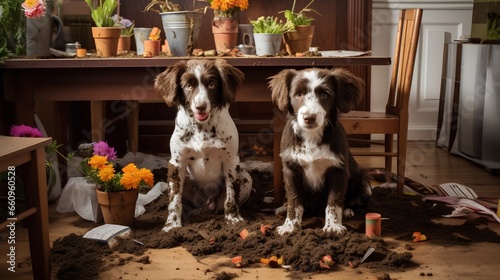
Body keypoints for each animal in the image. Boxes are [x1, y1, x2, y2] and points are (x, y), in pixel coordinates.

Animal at [154, 58, 252, 232]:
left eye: (211, 84)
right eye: (188, 85)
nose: (200, 107)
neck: (202, 127)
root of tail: (207, 202)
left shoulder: (231, 160)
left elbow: (231, 195)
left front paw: (233, 220)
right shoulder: (176, 162)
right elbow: (174, 200)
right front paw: (172, 225)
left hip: (246, 177)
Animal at [270, 67, 372, 234]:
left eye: (325, 94)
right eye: (298, 94)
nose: (309, 118)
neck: (311, 136)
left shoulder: (338, 169)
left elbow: (334, 201)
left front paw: (333, 226)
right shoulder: (290, 169)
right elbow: (294, 199)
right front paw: (290, 226)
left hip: (363, 181)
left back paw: (348, 210)